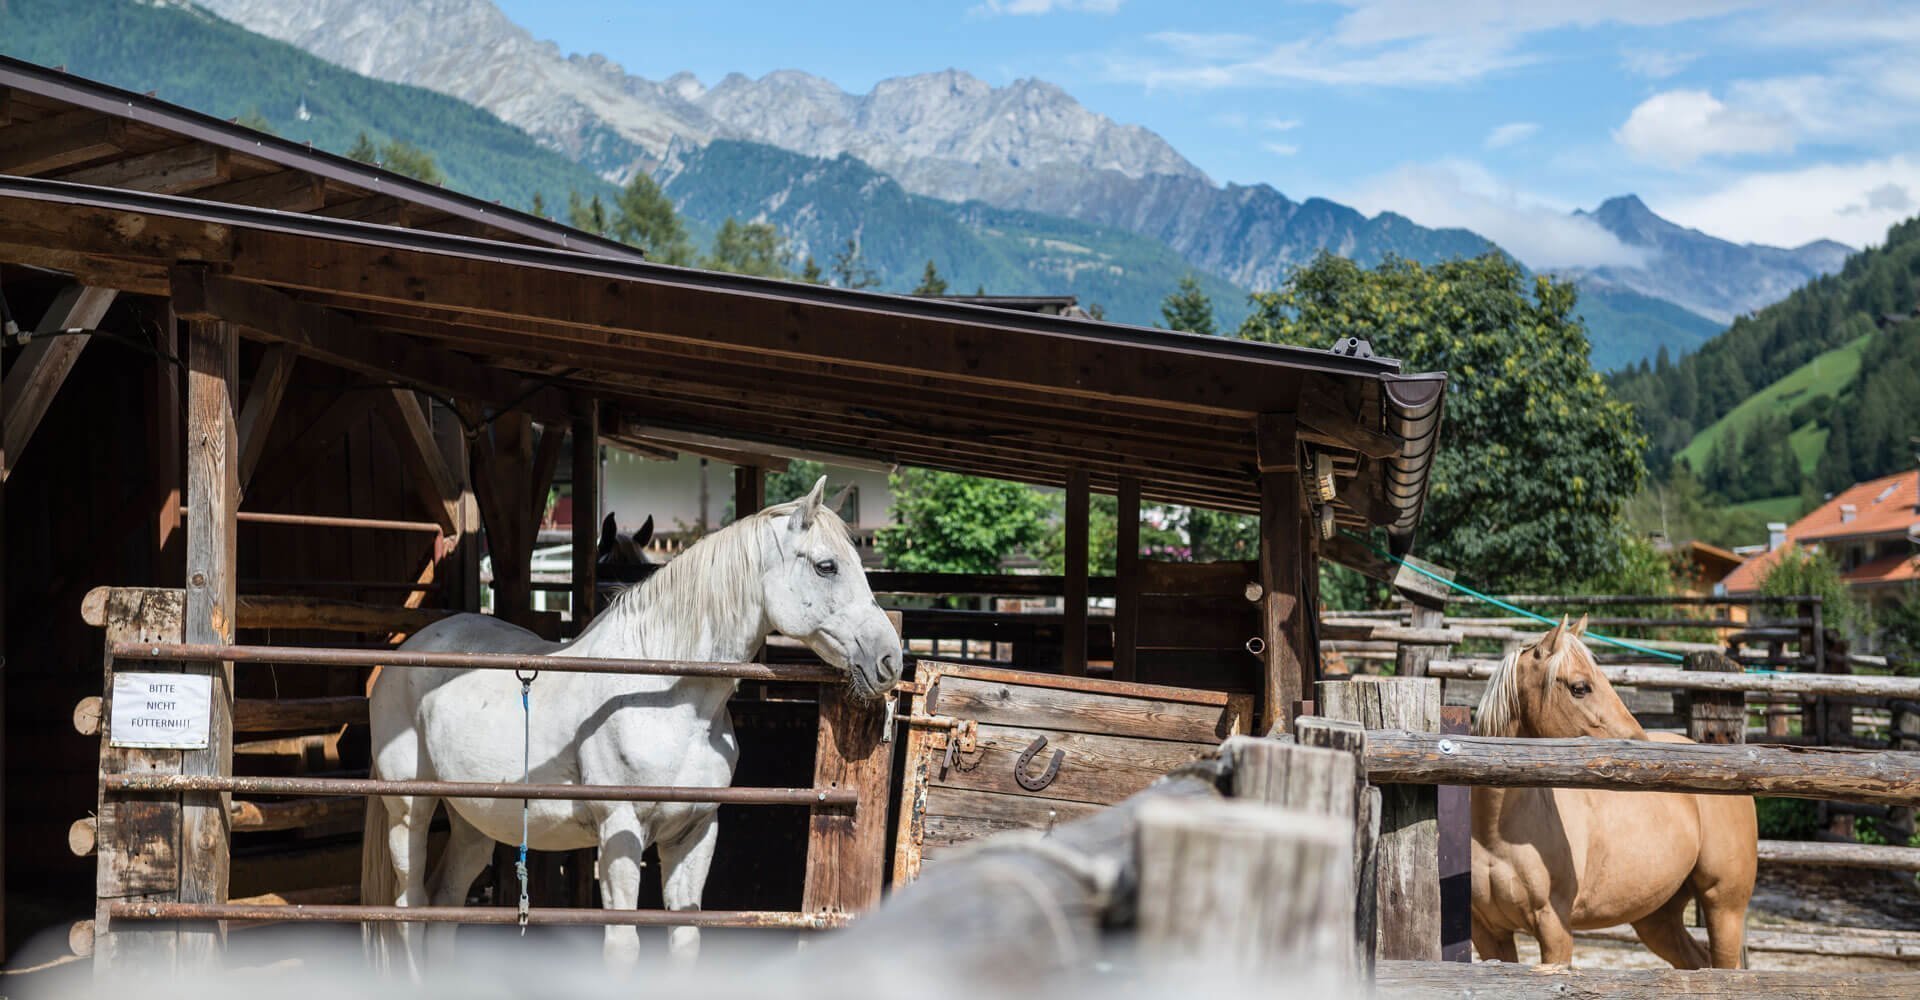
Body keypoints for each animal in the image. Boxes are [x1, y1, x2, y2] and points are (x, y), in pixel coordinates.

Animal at [362, 479, 902, 971]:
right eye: (826, 565)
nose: (890, 659)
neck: (663, 695)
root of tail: (405, 655)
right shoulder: (620, 833)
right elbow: (624, 947)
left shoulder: (694, 832)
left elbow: (685, 938)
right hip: (410, 810)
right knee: (409, 909)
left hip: (475, 820)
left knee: (444, 905)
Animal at [1466, 614, 1758, 967]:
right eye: (1580, 687)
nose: (1641, 746)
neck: (1496, 834)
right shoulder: (1488, 932)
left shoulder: (1554, 928)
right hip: (1656, 915)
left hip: (1724, 906)